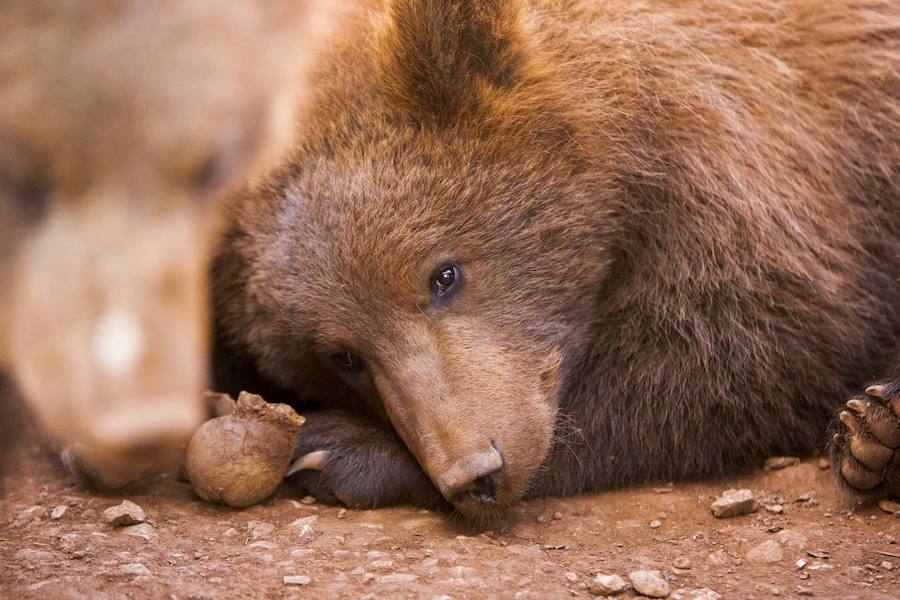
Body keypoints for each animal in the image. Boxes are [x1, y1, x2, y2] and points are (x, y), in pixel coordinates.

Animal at [214, 0, 900, 520]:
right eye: (345, 358)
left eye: (443, 274)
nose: (476, 473)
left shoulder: (764, 174)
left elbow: (746, 355)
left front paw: (342, 449)